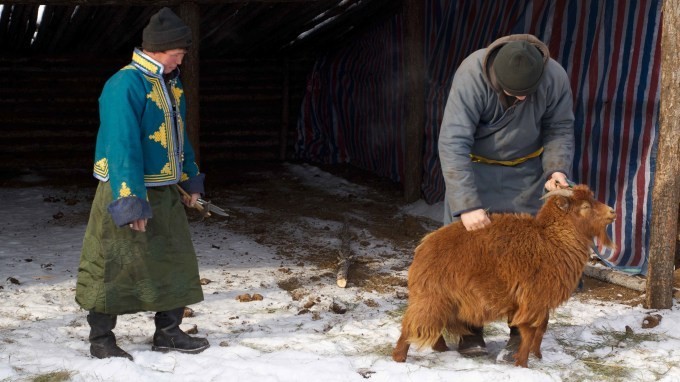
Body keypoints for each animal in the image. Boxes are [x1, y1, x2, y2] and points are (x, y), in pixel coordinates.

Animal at [394, 185, 616, 368]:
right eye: (585, 206)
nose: (613, 212)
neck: (551, 240)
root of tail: (424, 247)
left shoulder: (538, 301)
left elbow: (541, 328)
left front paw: (536, 356)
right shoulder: (532, 299)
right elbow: (530, 331)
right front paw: (523, 364)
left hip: (445, 300)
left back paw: (441, 349)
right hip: (432, 296)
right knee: (410, 326)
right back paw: (399, 357)